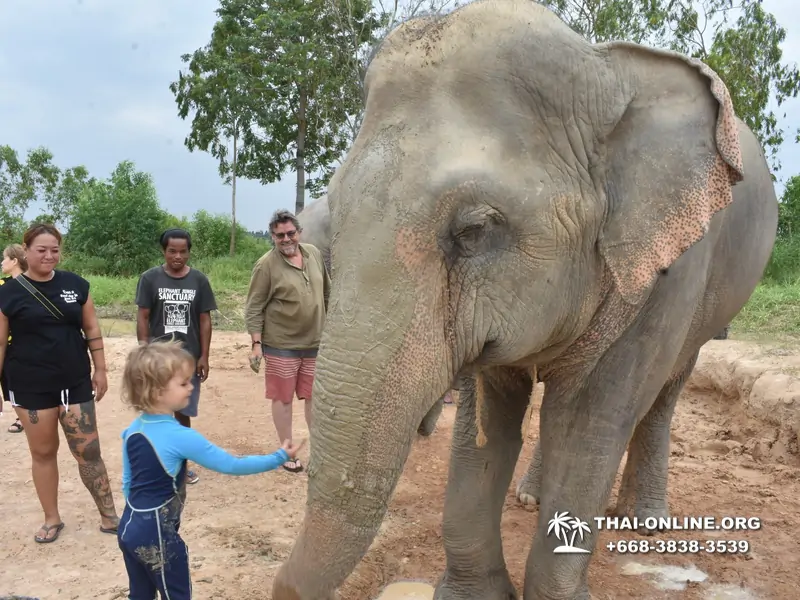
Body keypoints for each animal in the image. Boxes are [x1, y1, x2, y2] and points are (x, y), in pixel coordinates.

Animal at [274, 2, 776, 596]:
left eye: (473, 231)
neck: (603, 73)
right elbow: (489, 424)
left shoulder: (668, 270)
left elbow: (588, 425)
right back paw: (533, 498)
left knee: (662, 393)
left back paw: (644, 524)